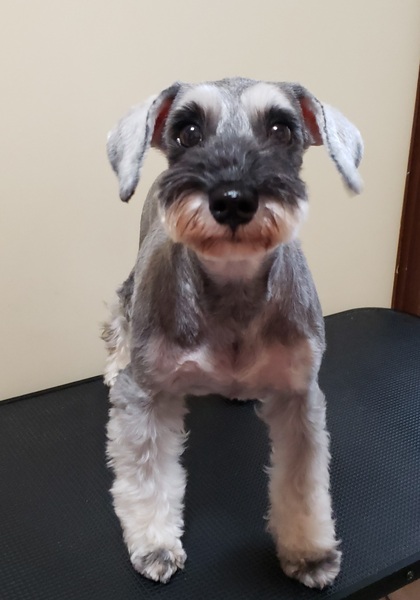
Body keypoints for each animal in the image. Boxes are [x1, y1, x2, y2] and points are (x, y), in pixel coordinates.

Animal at [102, 77, 363, 589]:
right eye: (187, 131)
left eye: (282, 128)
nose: (233, 197)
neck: (233, 285)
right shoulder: (145, 394)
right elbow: (147, 472)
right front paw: (155, 543)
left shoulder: (300, 395)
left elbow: (302, 483)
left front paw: (309, 551)